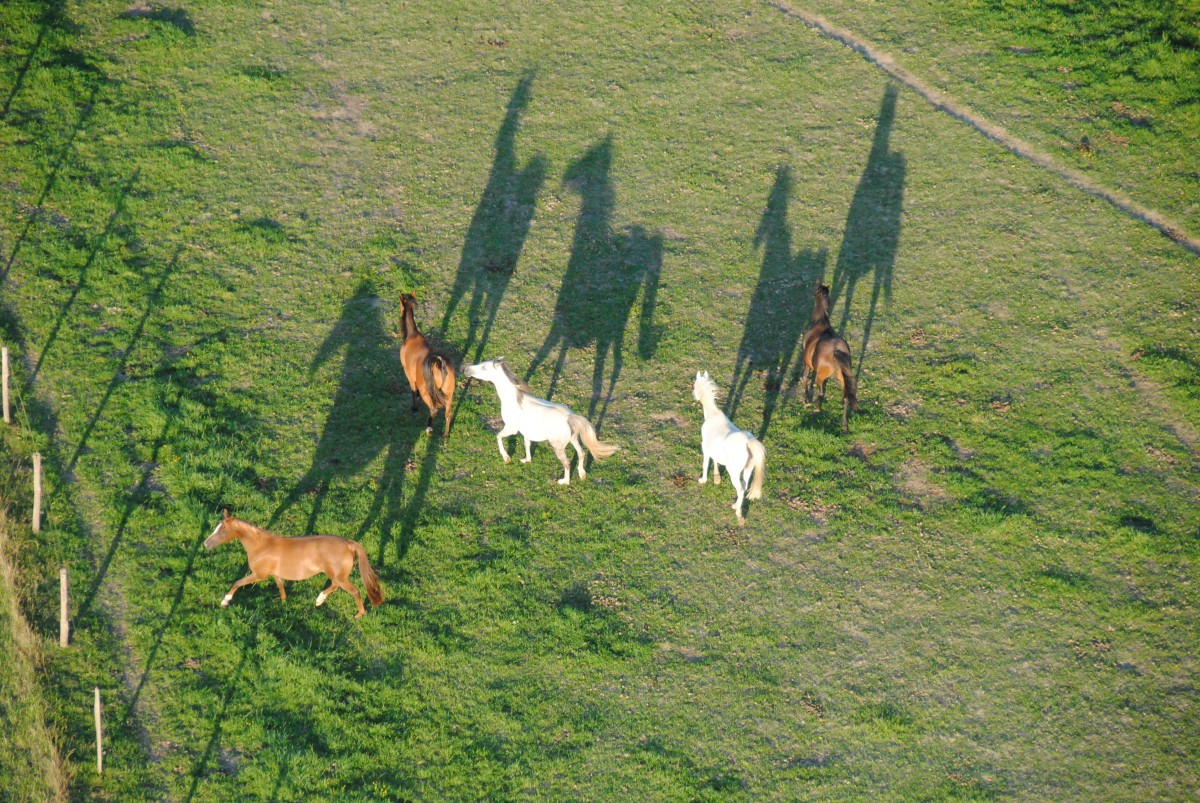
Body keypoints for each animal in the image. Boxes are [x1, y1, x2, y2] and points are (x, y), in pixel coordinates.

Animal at [199, 511, 381, 619]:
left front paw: (224, 601)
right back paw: (319, 600)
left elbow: (237, 582)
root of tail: (348, 544)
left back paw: (359, 614)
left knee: (354, 591)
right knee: (336, 586)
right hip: (337, 575)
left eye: (222, 530)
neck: (261, 546)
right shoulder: (275, 574)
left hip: (340, 576)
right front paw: (284, 602)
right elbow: (280, 586)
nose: (206, 544)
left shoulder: (259, 575)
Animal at [403, 291, 458, 434]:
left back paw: (429, 428)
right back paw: (445, 435)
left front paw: (414, 408)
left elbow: (413, 391)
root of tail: (439, 364)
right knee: (448, 413)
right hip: (449, 393)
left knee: (434, 409)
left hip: (427, 392)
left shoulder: (409, 374)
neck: (412, 336)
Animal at [460, 357, 619, 482]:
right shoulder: (526, 432)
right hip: (573, 439)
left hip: (558, 447)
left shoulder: (511, 428)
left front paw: (506, 458)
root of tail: (569, 417)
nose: (466, 369)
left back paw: (564, 482)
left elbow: (498, 437)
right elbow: (527, 444)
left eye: (484, 367)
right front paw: (526, 460)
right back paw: (582, 475)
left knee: (567, 462)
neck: (514, 401)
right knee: (581, 453)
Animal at [696, 367, 768, 523]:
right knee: (744, 486)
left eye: (695, 384)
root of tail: (748, 442)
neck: (713, 415)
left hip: (734, 471)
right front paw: (717, 477)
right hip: (748, 469)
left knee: (740, 488)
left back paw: (739, 514)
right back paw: (736, 505)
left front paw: (703, 480)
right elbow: (715, 461)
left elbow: (706, 464)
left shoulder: (706, 449)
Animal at [801, 282, 859, 432]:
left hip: (820, 377)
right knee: (845, 400)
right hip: (843, 380)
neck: (821, 322)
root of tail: (836, 351)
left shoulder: (807, 363)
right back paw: (844, 425)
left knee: (821, 393)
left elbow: (804, 377)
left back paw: (816, 408)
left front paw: (807, 400)